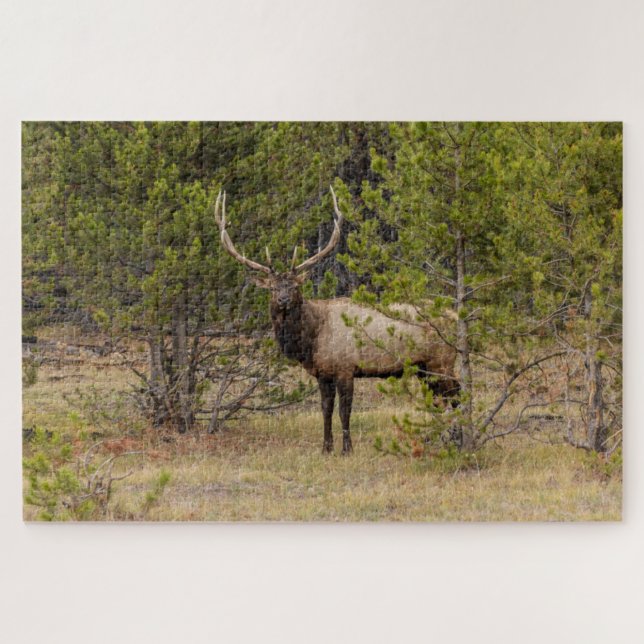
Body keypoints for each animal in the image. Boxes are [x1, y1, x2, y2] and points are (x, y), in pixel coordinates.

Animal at [214, 187, 460, 454]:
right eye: (272, 288)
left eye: (296, 286)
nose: (283, 299)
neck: (311, 340)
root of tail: (456, 316)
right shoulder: (323, 373)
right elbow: (326, 410)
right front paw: (326, 447)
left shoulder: (345, 367)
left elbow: (344, 411)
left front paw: (347, 449)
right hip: (424, 367)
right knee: (442, 400)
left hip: (441, 362)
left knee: (457, 396)